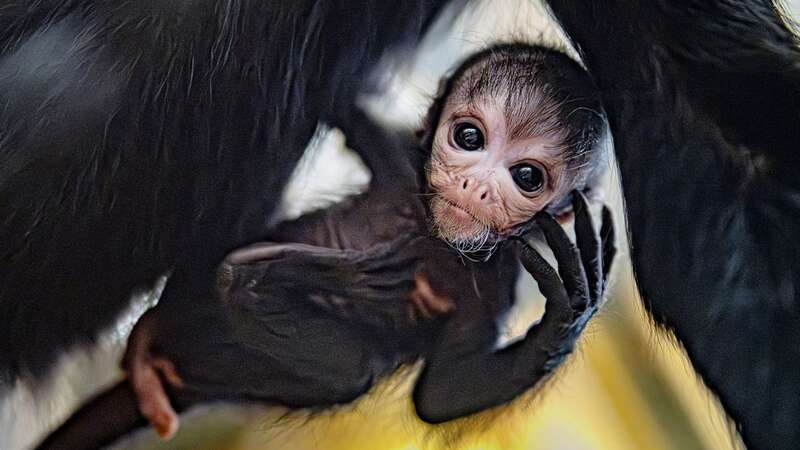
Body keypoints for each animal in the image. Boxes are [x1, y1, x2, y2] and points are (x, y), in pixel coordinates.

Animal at [39, 44, 612, 450]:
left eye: (526, 177)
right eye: (469, 138)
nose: (478, 187)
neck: (432, 235)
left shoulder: (498, 280)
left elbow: (441, 395)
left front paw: (570, 308)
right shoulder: (401, 160)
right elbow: (340, 103)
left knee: (349, 370)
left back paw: (260, 282)